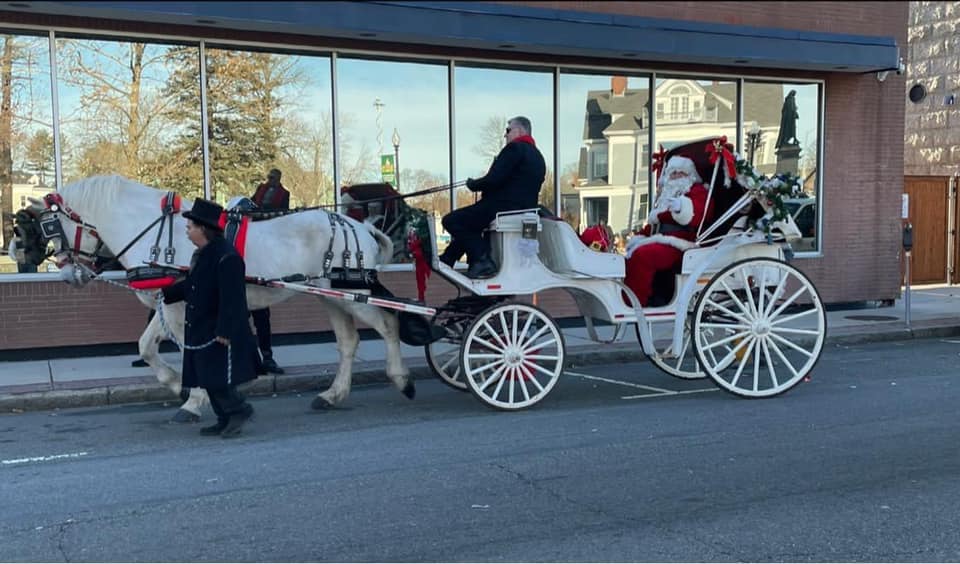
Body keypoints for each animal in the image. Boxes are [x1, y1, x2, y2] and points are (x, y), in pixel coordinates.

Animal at [15, 174, 412, 420]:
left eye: (51, 227)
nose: (68, 275)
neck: (156, 232)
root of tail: (358, 225)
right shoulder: (169, 304)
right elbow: (147, 347)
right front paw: (179, 384)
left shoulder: (180, 306)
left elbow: (183, 350)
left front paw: (194, 398)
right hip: (331, 295)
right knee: (348, 342)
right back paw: (333, 395)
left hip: (353, 293)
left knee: (389, 323)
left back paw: (402, 379)